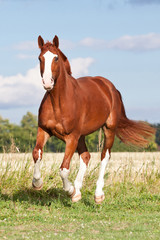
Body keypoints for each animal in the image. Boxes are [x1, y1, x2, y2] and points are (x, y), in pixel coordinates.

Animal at [31, 35, 154, 203]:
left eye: (56, 58)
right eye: (40, 58)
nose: (47, 83)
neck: (59, 102)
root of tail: (110, 87)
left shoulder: (71, 137)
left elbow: (64, 168)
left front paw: (69, 190)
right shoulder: (44, 130)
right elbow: (37, 153)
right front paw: (37, 183)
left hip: (108, 129)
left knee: (104, 156)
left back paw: (98, 195)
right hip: (82, 136)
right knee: (86, 156)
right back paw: (78, 192)